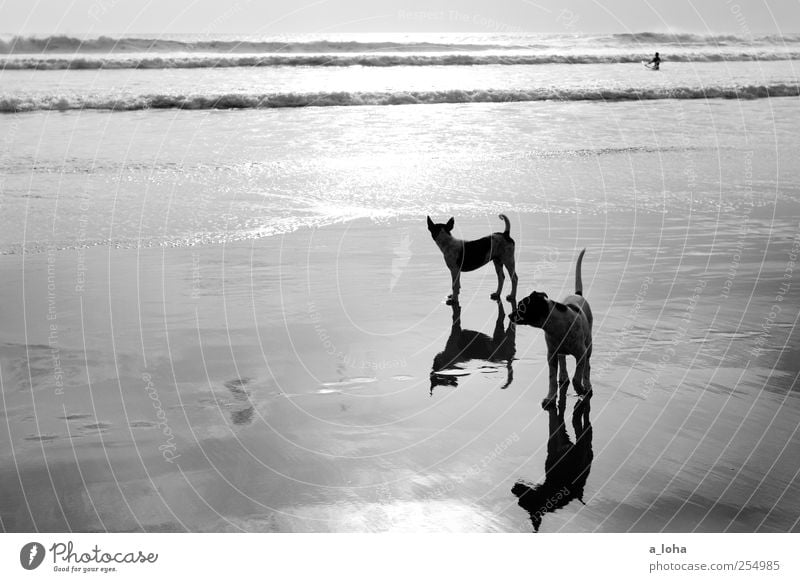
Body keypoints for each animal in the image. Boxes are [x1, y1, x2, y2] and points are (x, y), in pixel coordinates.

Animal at [510, 249, 592, 408]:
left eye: (521, 307)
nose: (509, 315)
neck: (555, 325)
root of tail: (577, 294)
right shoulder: (551, 355)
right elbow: (552, 378)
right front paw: (550, 397)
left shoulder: (581, 353)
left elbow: (577, 376)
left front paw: (580, 389)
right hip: (561, 352)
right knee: (563, 360)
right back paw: (564, 377)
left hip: (589, 345)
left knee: (587, 367)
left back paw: (587, 385)